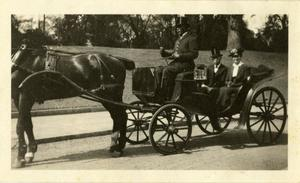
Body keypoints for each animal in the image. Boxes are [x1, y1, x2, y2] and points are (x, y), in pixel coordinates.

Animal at [10, 40, 135, 168]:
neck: (25, 60)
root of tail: (117, 60)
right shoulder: (19, 98)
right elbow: (27, 124)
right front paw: (30, 152)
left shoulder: (25, 95)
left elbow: (20, 126)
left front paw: (20, 158)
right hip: (108, 97)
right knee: (118, 116)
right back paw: (115, 146)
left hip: (109, 95)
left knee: (121, 116)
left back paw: (118, 147)